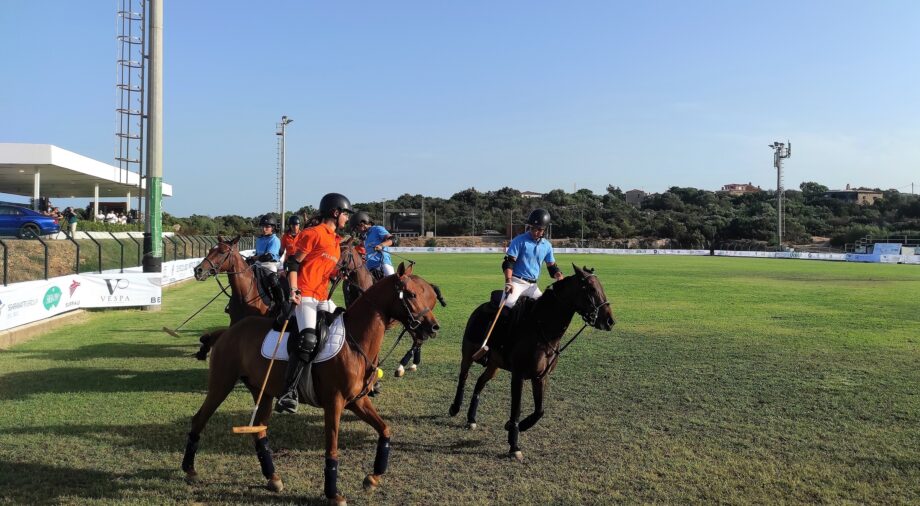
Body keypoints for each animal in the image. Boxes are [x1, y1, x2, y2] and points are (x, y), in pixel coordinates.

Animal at [183, 262, 442, 504]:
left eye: (429, 296)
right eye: (411, 294)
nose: (433, 328)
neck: (355, 342)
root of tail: (226, 332)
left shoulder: (357, 401)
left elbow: (385, 430)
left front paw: (372, 478)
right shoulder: (334, 403)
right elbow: (332, 448)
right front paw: (333, 493)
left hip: (263, 392)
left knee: (259, 430)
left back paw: (273, 478)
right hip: (222, 383)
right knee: (199, 419)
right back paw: (189, 470)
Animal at [448, 264, 616, 462]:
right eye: (590, 288)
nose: (610, 321)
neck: (544, 331)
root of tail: (479, 308)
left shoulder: (540, 377)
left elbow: (539, 410)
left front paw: (514, 426)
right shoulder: (518, 375)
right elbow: (516, 408)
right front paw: (514, 445)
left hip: (494, 364)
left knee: (480, 382)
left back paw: (471, 419)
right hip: (468, 353)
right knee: (464, 376)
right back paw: (455, 408)